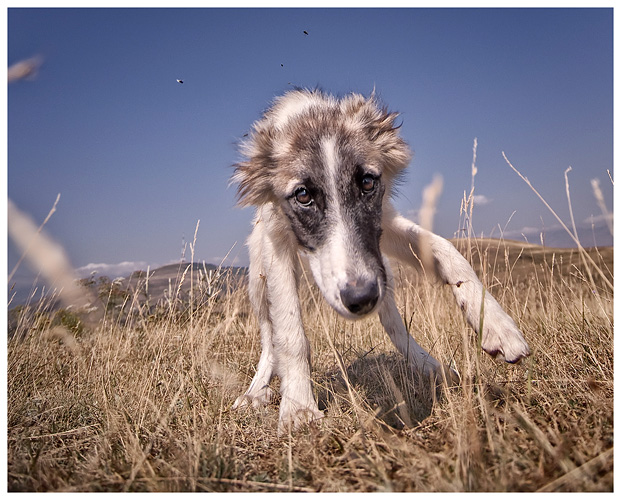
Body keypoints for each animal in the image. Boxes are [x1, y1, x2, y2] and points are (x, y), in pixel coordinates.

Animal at [231, 88, 528, 432]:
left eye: (367, 182)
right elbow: (290, 331)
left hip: (381, 269)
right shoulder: (277, 243)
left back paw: (428, 364)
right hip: (259, 276)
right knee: (269, 333)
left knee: (394, 323)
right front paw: (299, 408)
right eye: (303, 195)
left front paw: (496, 324)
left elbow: (448, 251)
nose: (361, 298)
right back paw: (256, 391)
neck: (312, 116)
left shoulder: (384, 224)